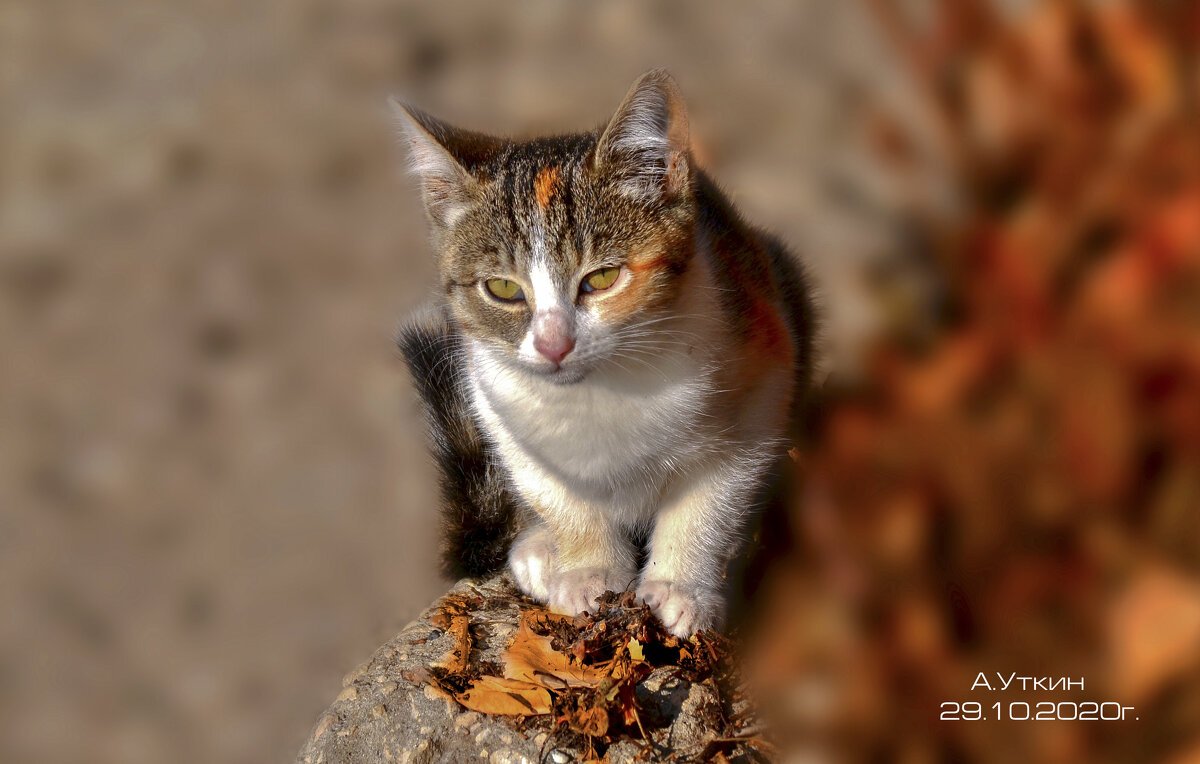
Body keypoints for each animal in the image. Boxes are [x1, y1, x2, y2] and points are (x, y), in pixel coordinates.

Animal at [393, 68, 816, 633]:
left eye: (602, 278)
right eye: (502, 289)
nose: (554, 345)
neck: (601, 392)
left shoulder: (762, 376)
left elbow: (711, 500)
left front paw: (681, 588)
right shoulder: (493, 399)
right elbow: (555, 490)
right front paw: (586, 568)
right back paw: (539, 547)